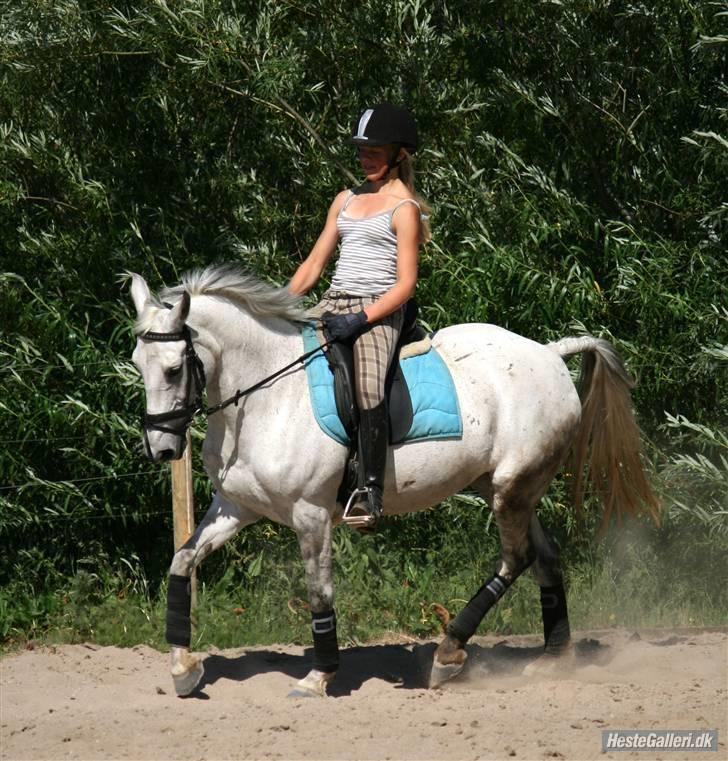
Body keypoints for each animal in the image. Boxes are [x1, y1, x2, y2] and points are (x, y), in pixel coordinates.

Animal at [131, 264, 660, 696]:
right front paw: (182, 667)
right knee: (545, 556)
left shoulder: (310, 514)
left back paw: (449, 652)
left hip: (513, 487)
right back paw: (554, 659)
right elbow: (182, 561)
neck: (263, 394)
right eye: (138, 364)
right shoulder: (236, 507)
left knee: (517, 559)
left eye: (174, 369)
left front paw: (318, 676)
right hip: (506, 487)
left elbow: (319, 592)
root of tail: (550, 354)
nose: (162, 449)